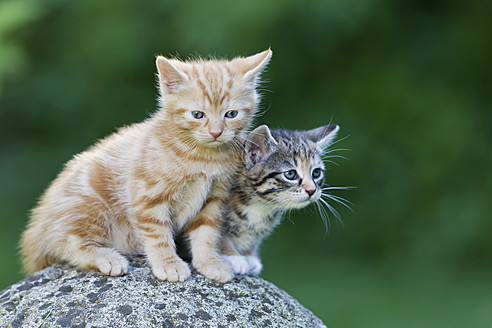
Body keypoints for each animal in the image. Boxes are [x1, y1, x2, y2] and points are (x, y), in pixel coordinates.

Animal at [20, 48, 272, 282]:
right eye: (198, 115)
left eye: (231, 114)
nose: (216, 132)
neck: (203, 158)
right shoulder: (147, 195)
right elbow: (157, 233)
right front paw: (169, 264)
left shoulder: (213, 199)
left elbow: (206, 234)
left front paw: (211, 262)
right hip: (88, 205)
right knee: (68, 243)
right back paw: (107, 258)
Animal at [222, 123, 340, 274]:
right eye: (290, 174)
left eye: (316, 172)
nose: (312, 190)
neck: (259, 205)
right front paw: (234, 257)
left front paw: (249, 256)